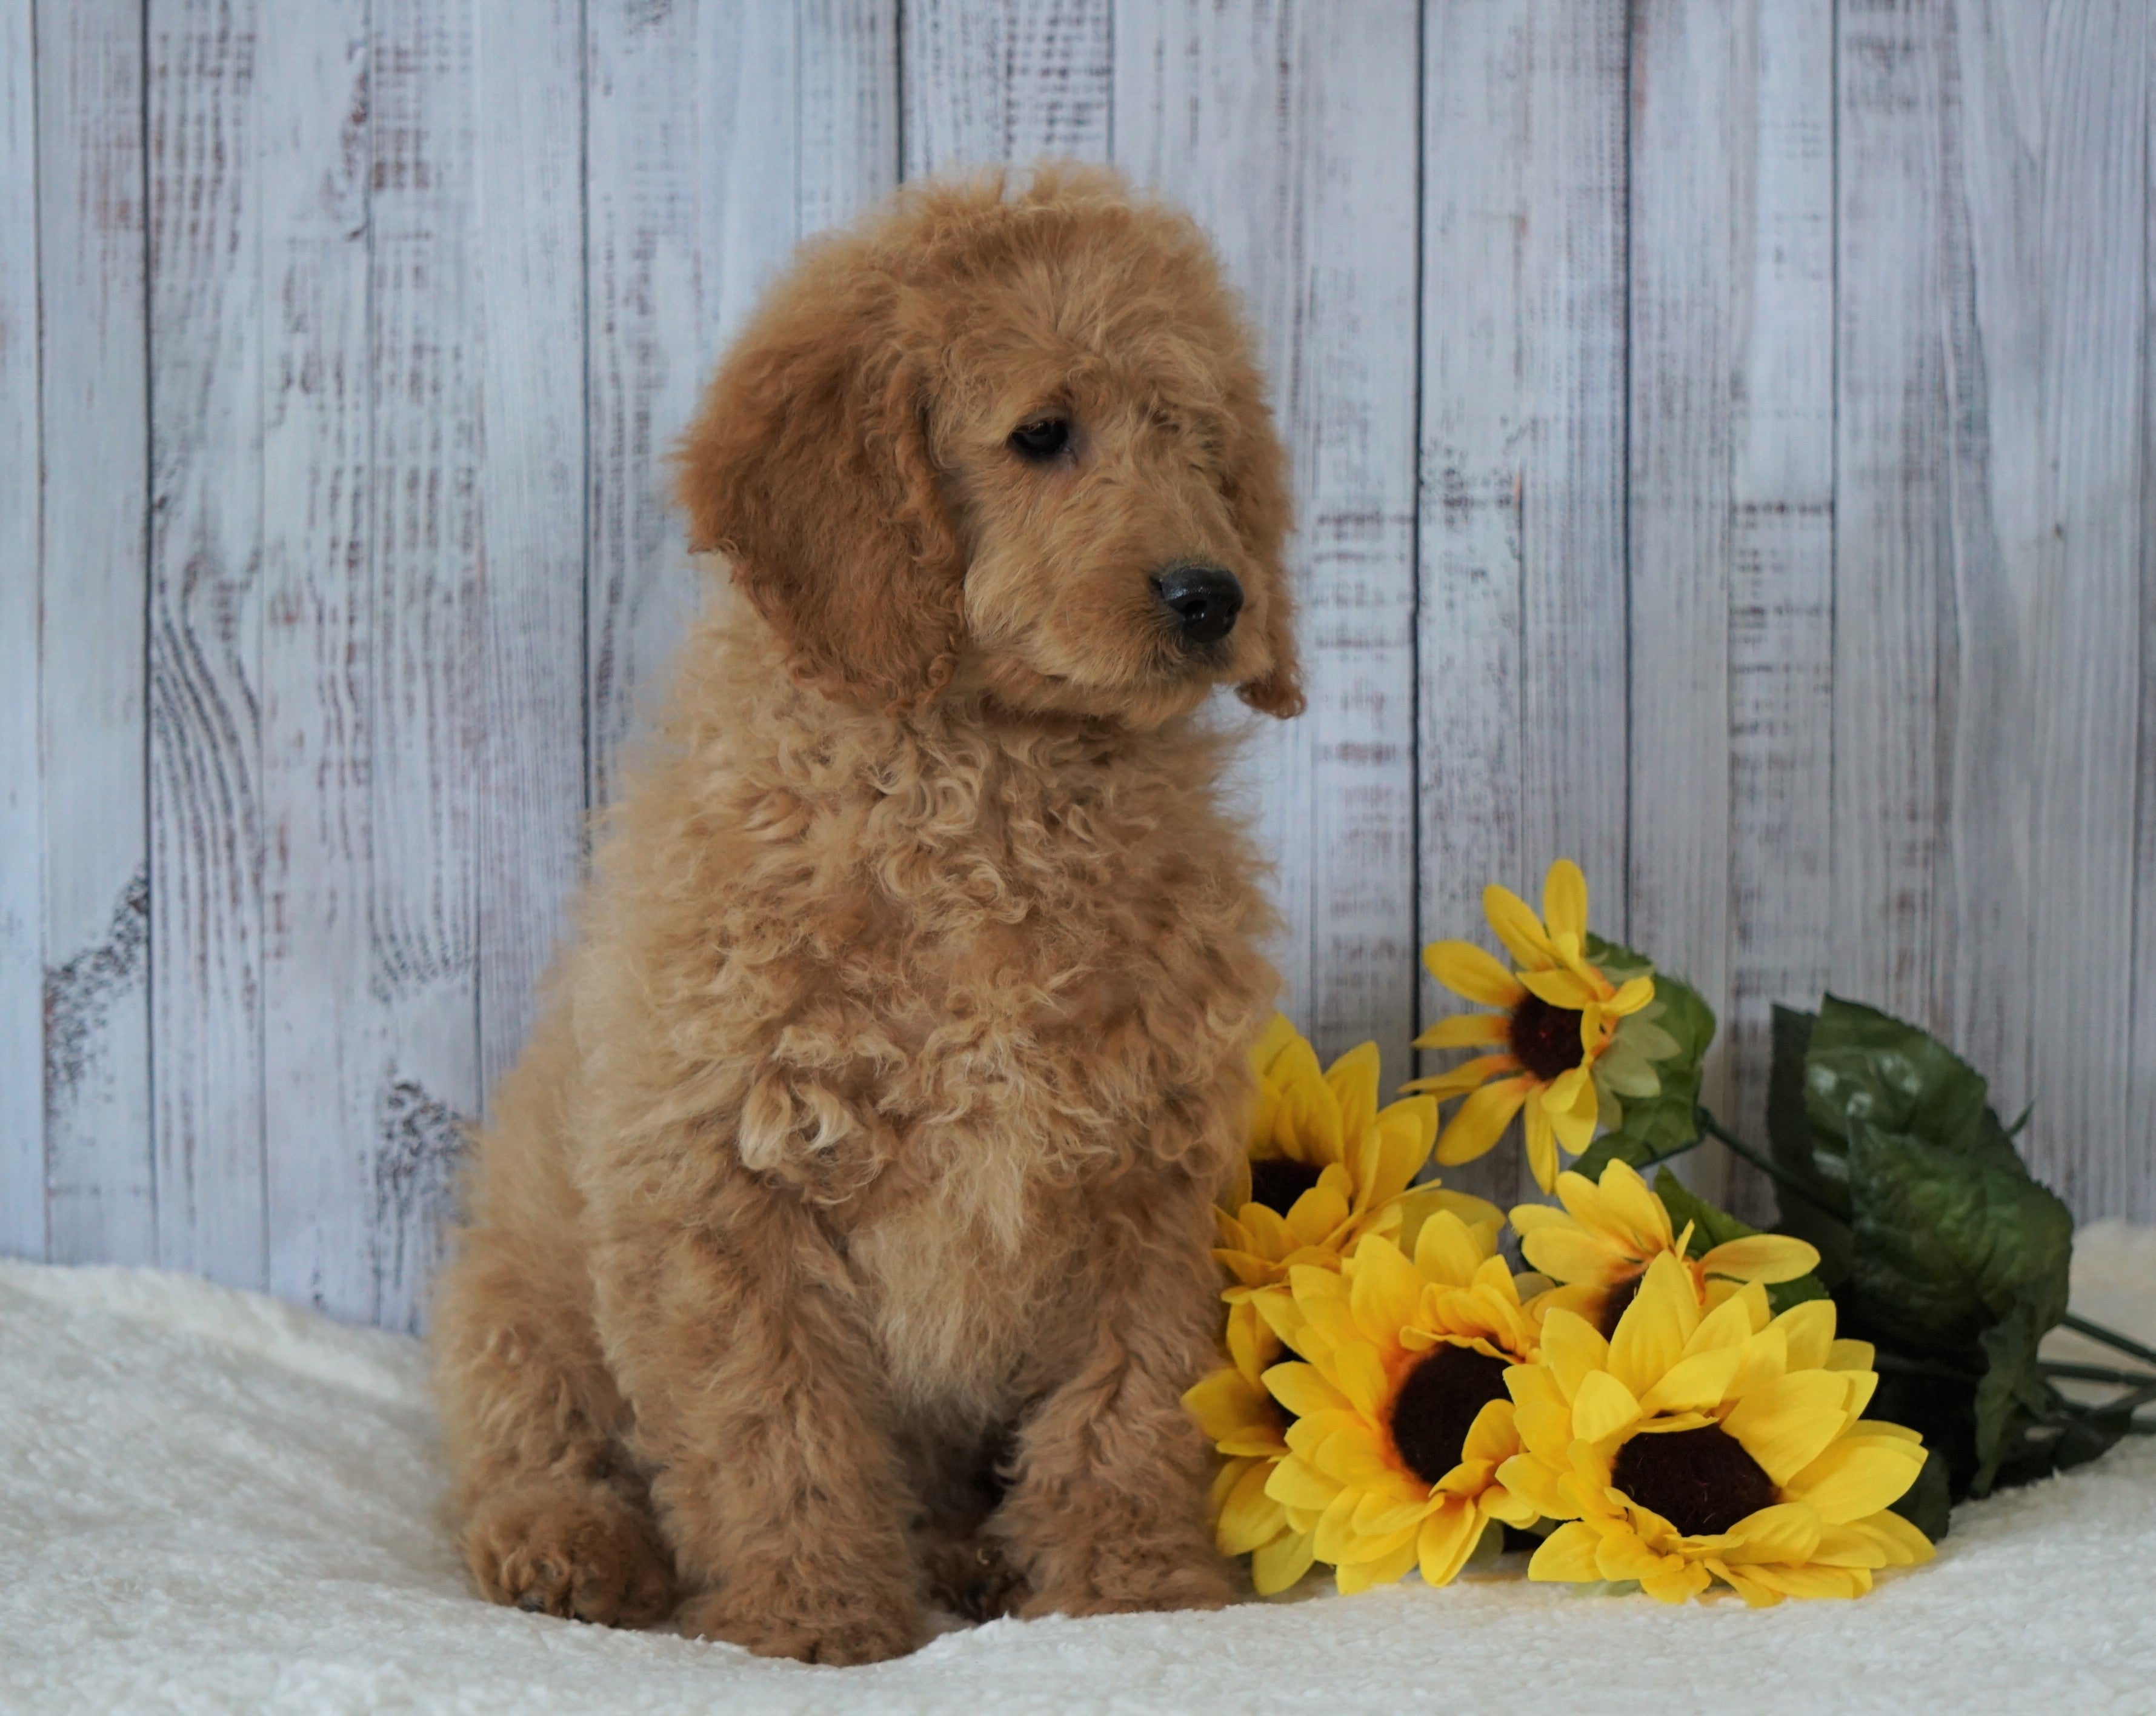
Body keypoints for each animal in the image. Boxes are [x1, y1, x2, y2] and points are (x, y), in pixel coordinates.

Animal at [429, 164, 1293, 1664]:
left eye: (1199, 443)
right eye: (1042, 435)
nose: (1214, 594)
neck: (995, 784)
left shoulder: (1145, 1175)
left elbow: (1124, 1404)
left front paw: (1130, 1593)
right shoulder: (725, 1186)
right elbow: (776, 1425)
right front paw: (815, 1619)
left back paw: (968, 1551)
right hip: (517, 1291)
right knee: (531, 1429)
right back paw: (569, 1545)